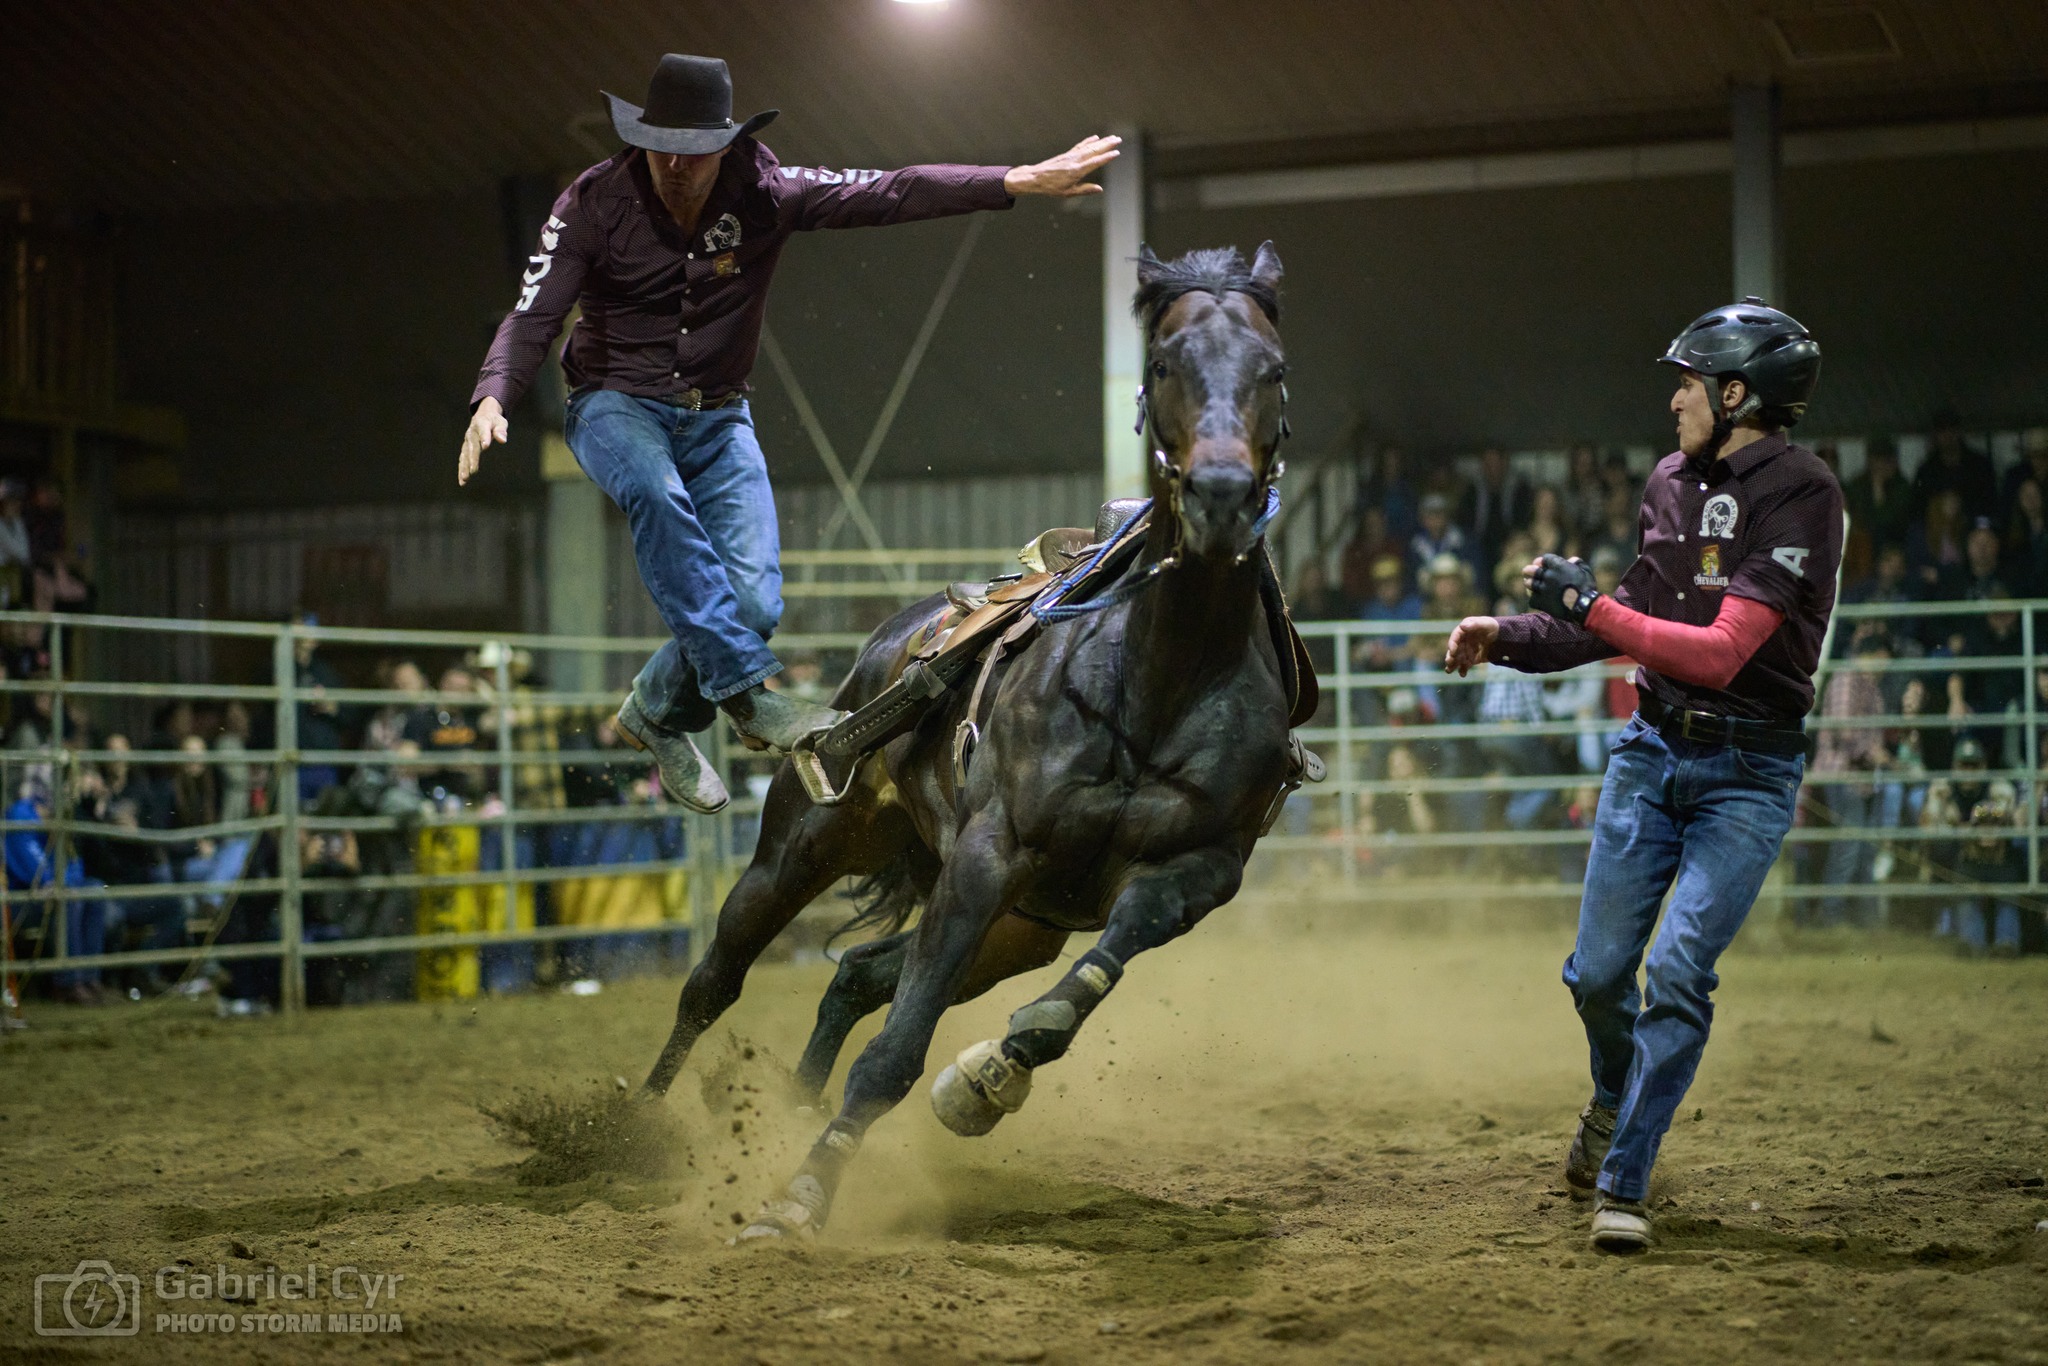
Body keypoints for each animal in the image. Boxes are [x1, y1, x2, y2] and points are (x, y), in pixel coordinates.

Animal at [640, 241, 1299, 1239]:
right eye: (1161, 365)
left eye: (1274, 370)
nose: (1221, 498)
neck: (1160, 673)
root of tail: (893, 635)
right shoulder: (989, 855)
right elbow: (893, 1054)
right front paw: (800, 1199)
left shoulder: (1203, 868)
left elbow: (1107, 955)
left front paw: (994, 1072)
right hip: (806, 844)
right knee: (716, 979)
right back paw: (625, 1132)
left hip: (1019, 929)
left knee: (862, 973)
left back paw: (791, 1105)